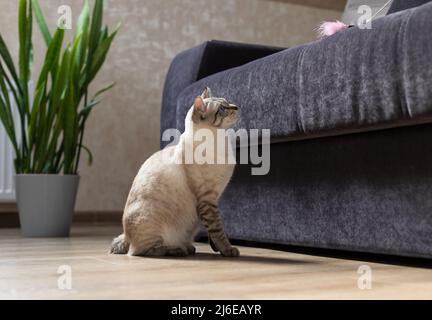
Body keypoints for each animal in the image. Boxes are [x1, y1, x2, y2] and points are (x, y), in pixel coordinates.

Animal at [109, 87, 241, 258]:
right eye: (222, 109)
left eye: (228, 102)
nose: (236, 107)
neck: (220, 142)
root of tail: (126, 235)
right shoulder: (208, 200)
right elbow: (217, 230)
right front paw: (227, 250)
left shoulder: (215, 199)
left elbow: (213, 231)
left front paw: (217, 248)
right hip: (152, 225)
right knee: (142, 251)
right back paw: (178, 250)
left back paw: (188, 248)